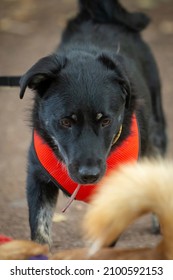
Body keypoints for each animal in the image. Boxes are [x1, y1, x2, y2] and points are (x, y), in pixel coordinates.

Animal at [19, 0, 167, 245]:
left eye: (106, 120)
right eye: (66, 121)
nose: (89, 175)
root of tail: (101, 16)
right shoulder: (37, 179)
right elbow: (39, 232)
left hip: (158, 129)